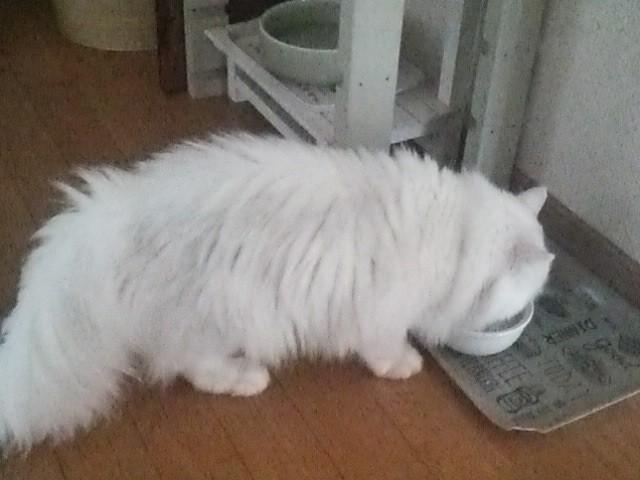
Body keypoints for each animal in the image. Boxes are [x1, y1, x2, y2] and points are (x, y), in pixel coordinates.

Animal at [0, 134, 553, 453]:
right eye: (522, 303)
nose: (523, 318)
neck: (457, 232)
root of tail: (108, 218)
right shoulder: (381, 312)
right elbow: (385, 349)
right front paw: (403, 365)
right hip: (218, 317)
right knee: (195, 368)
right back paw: (247, 378)